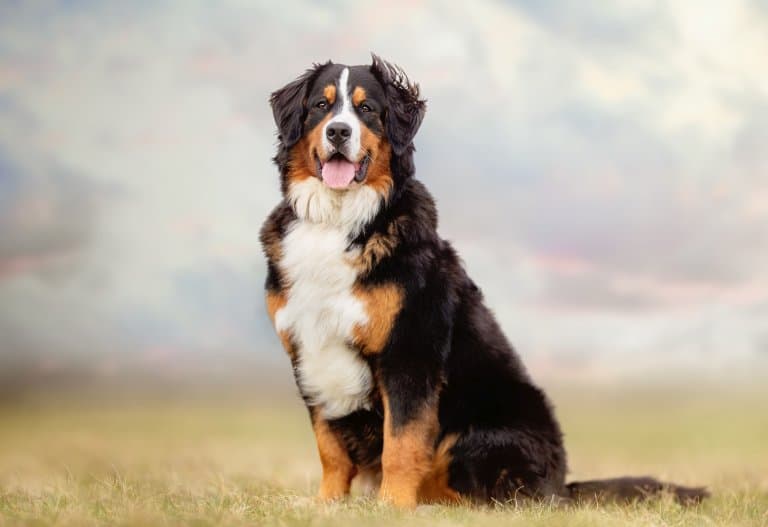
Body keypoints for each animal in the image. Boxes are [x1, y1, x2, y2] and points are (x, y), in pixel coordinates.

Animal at [260, 53, 708, 508]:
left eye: (367, 109)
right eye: (321, 106)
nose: (338, 131)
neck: (337, 220)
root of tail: (561, 485)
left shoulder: (409, 351)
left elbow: (402, 442)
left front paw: (392, 506)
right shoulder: (308, 352)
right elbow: (330, 448)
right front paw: (327, 504)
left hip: (485, 431)